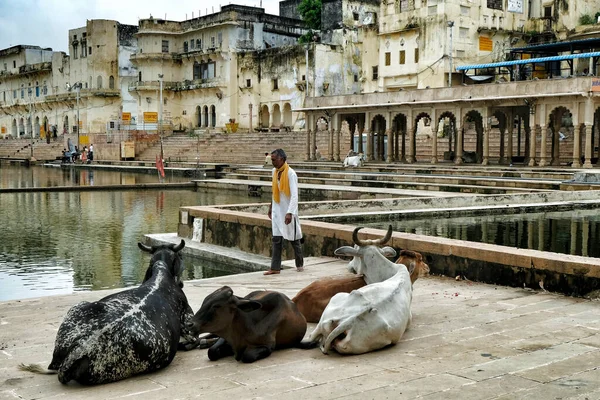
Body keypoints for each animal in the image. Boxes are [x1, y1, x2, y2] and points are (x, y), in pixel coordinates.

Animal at [19, 241, 206, 384]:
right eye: (181, 257)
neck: (161, 275)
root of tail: (80, 348)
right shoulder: (189, 323)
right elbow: (194, 340)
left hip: (77, 307)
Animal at [186, 286, 314, 364]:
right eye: (204, 301)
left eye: (216, 306)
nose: (189, 324)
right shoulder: (225, 335)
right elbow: (212, 351)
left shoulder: (268, 346)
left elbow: (247, 356)